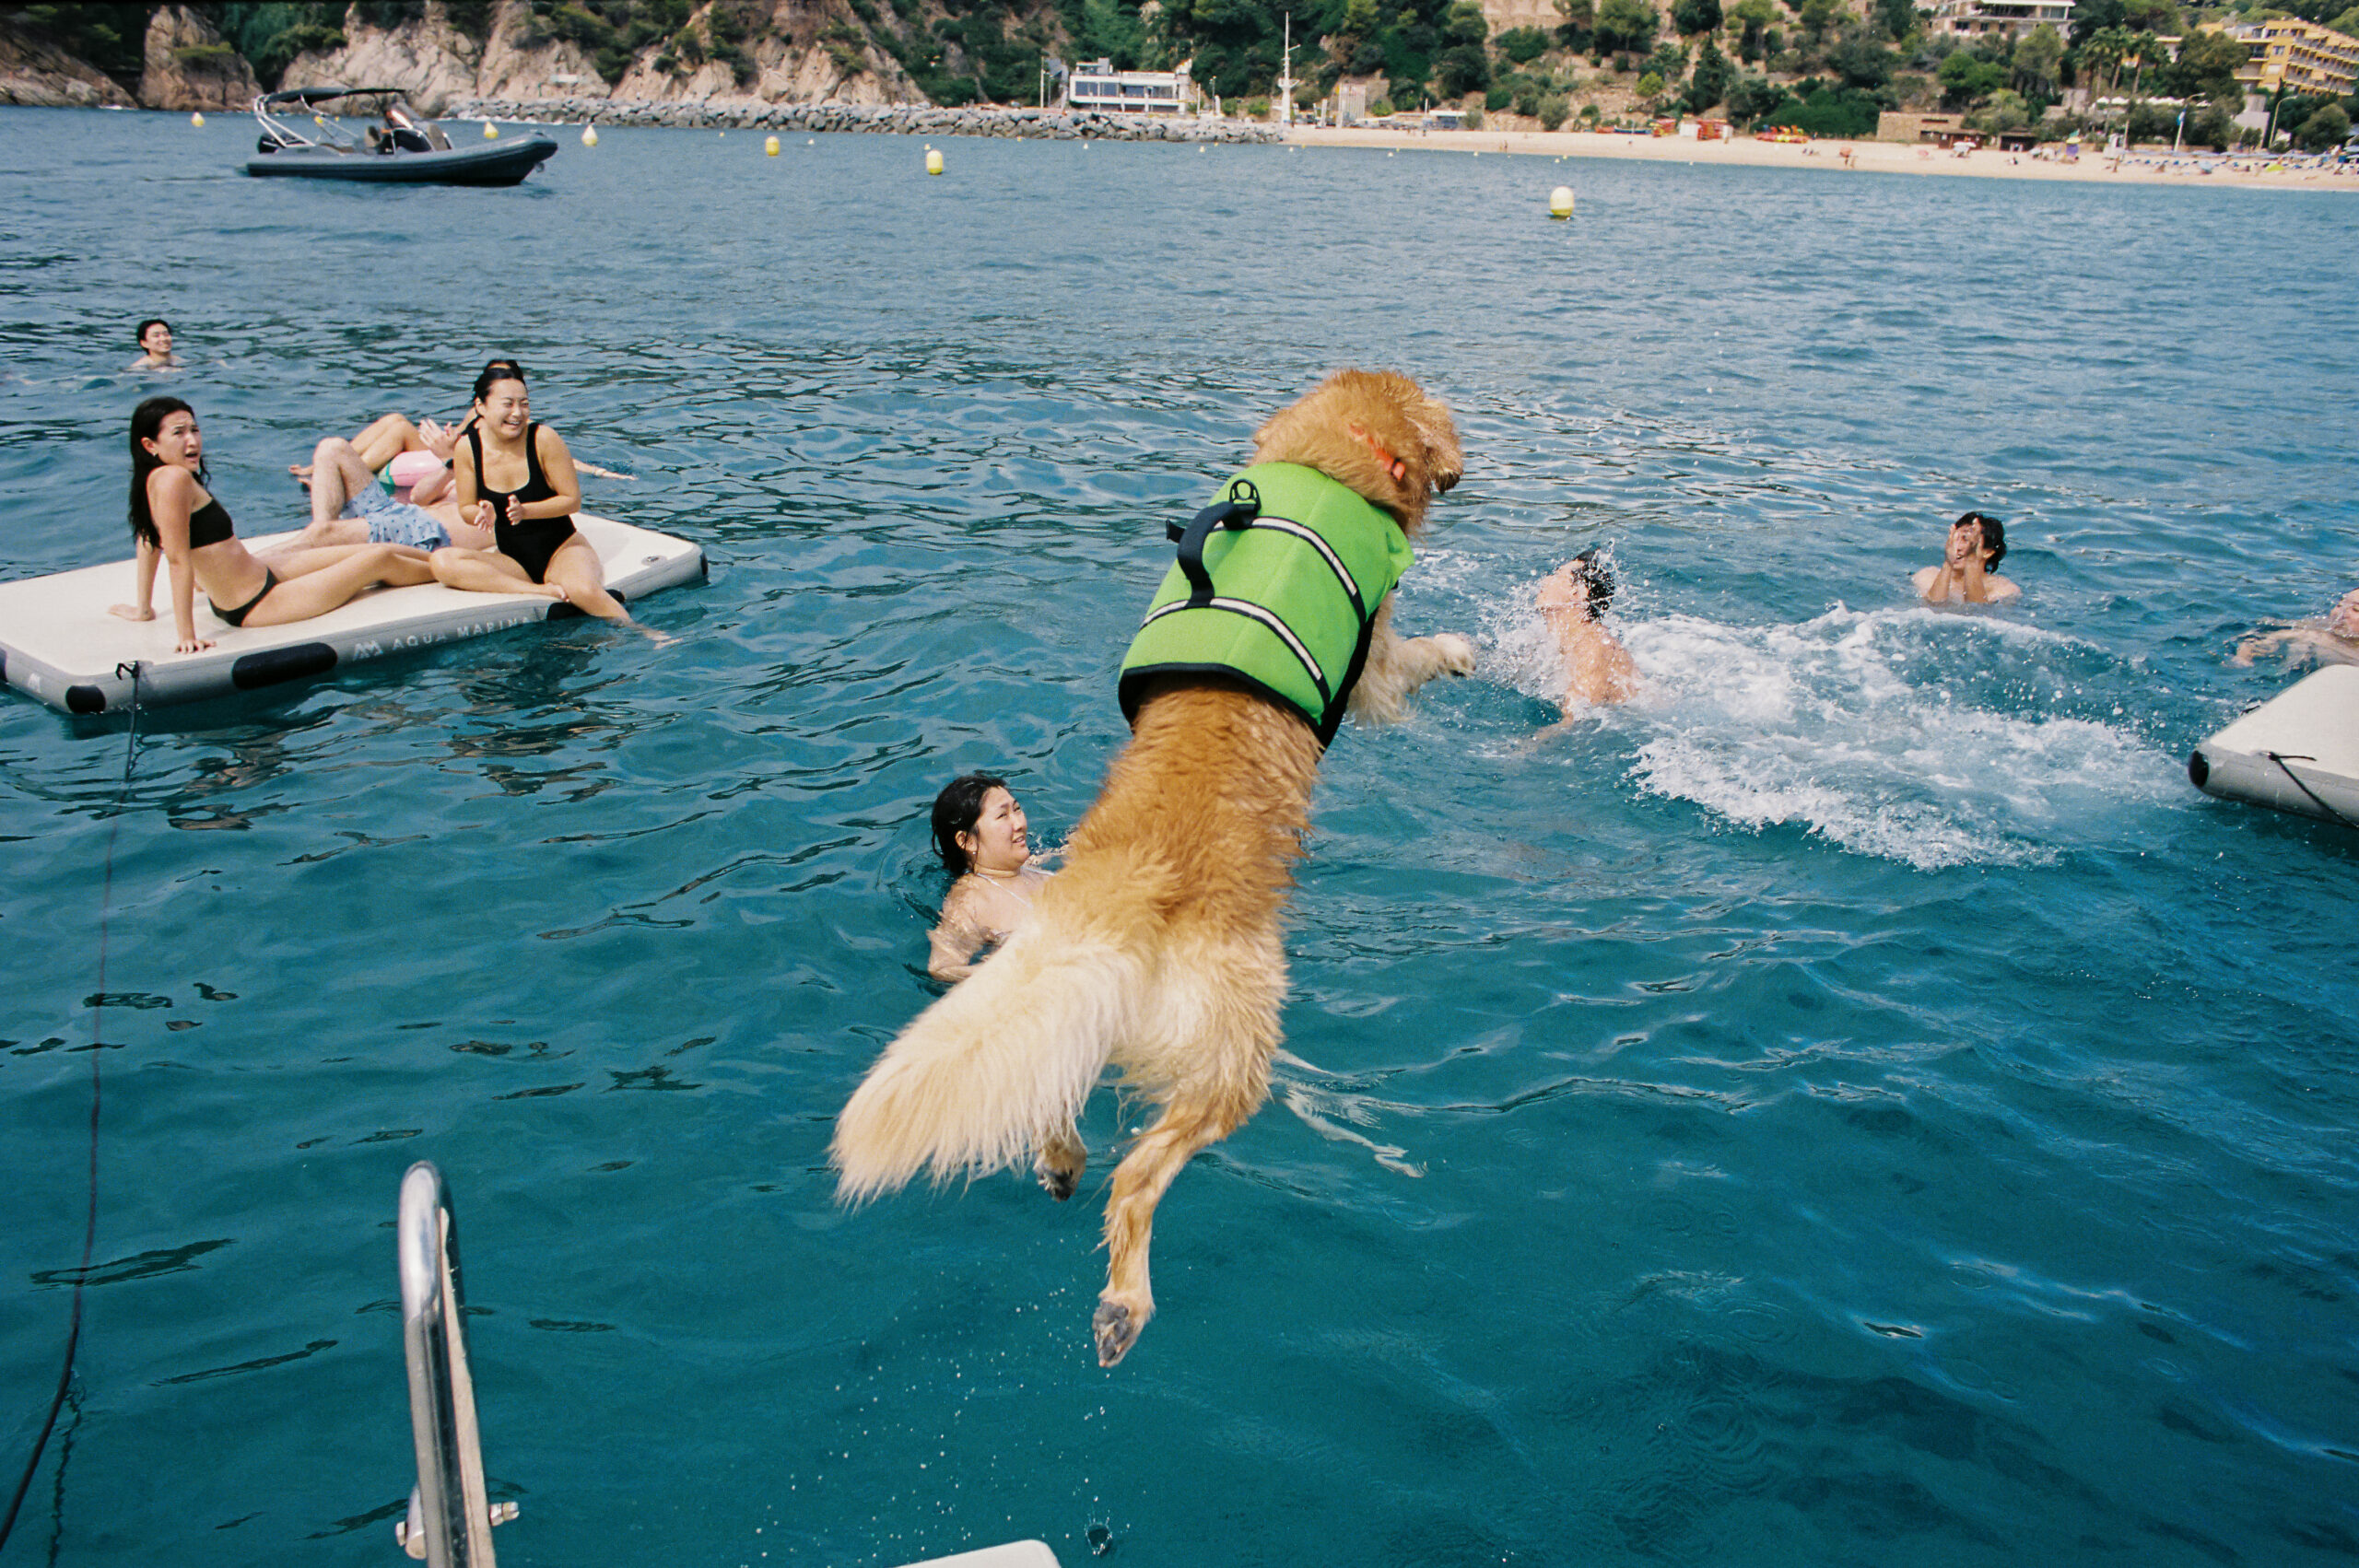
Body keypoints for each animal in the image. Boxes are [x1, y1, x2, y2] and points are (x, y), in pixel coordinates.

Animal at [831, 370, 1475, 1366]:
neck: (1324, 466)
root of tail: (1124, 883)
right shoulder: (1372, 664)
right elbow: (1410, 665)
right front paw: (1460, 654)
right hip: (1233, 1050)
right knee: (1139, 1178)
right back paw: (1122, 1302)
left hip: (1080, 994)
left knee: (1055, 1088)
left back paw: (1060, 1162)